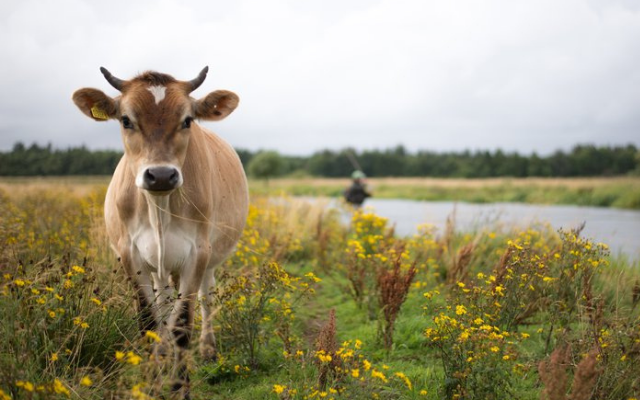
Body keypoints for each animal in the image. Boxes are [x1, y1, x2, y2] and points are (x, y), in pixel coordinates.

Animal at [72, 66, 248, 396]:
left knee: (206, 296)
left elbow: (182, 324)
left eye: (187, 119)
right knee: (164, 302)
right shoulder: (131, 256)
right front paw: (152, 383)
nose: (161, 175)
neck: (159, 209)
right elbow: (149, 323)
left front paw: (180, 387)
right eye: (126, 120)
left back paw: (207, 348)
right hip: (160, 267)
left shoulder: (197, 254)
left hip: (210, 259)